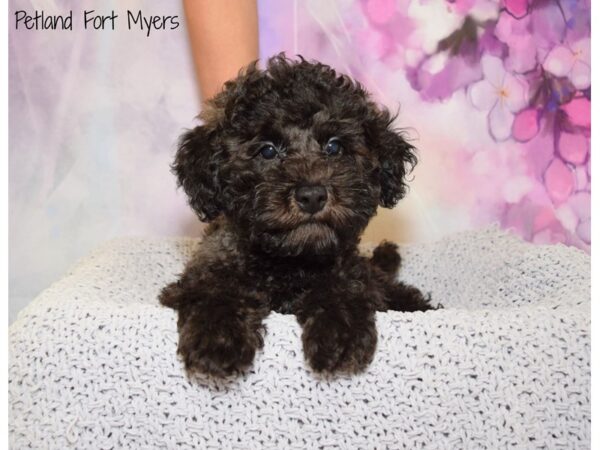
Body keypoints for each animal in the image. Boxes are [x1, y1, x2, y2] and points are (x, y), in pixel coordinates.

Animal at [158, 54, 432, 378]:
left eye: (334, 147)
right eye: (267, 151)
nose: (312, 195)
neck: (290, 261)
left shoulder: (350, 271)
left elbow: (342, 285)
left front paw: (340, 329)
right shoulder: (203, 271)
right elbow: (214, 289)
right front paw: (218, 337)